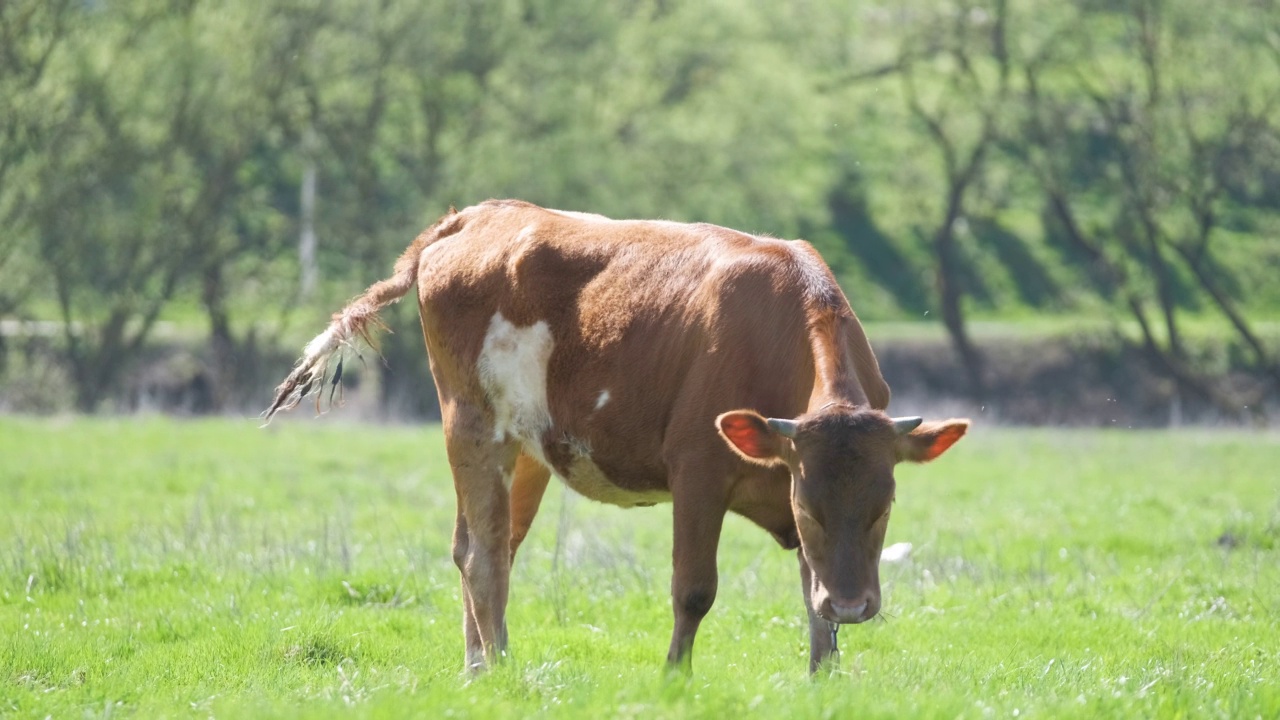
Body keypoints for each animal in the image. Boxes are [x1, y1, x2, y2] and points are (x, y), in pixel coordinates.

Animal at [264, 198, 962, 671]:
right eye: (809, 509)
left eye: (884, 508)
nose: (854, 606)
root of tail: (476, 215)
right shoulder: (698, 470)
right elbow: (694, 590)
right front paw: (674, 680)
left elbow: (812, 607)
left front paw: (824, 681)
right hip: (473, 425)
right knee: (482, 557)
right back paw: (505, 671)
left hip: (527, 451)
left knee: (486, 546)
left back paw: (477, 670)